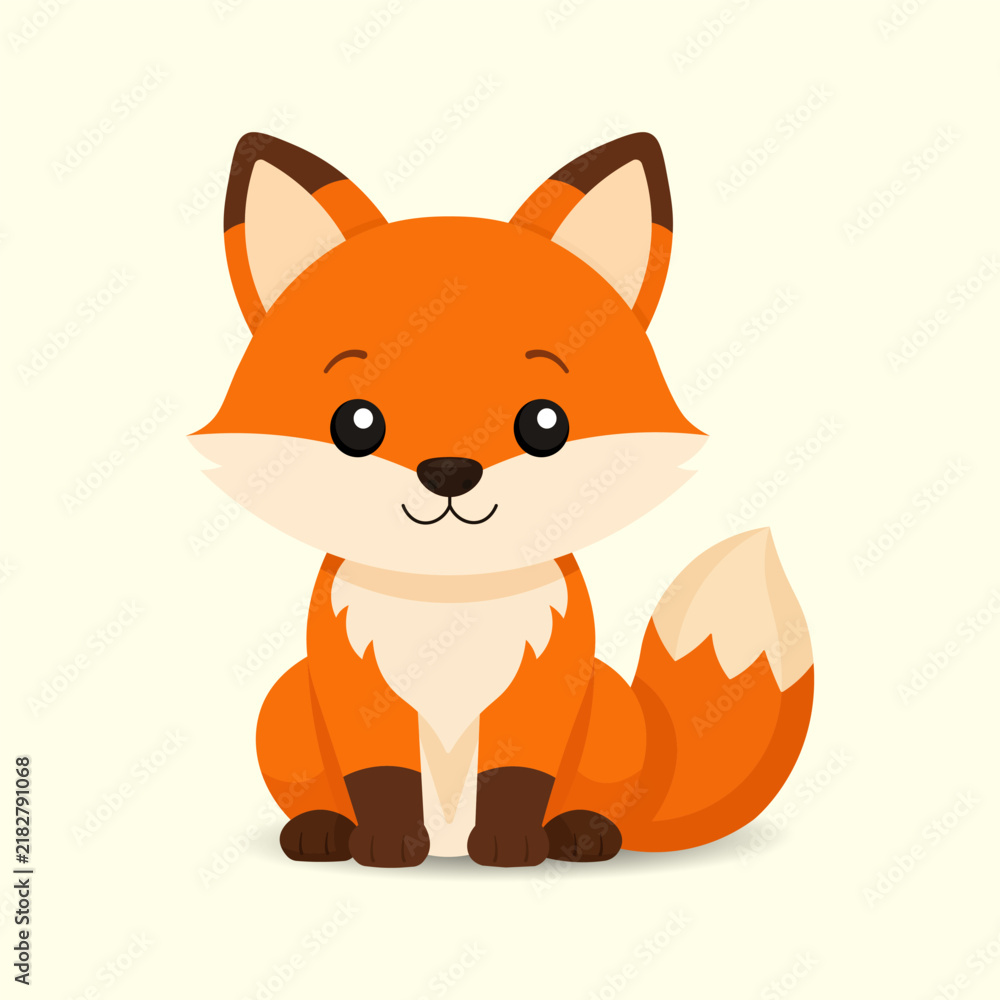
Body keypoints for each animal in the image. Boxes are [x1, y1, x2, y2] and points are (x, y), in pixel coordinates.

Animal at [190, 131, 814, 867]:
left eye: (544, 424)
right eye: (356, 424)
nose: (449, 471)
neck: (450, 598)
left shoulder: (545, 682)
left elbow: (516, 776)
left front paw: (512, 845)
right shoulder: (356, 685)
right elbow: (381, 777)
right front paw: (385, 843)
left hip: (609, 707)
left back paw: (581, 831)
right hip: (287, 697)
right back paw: (321, 829)